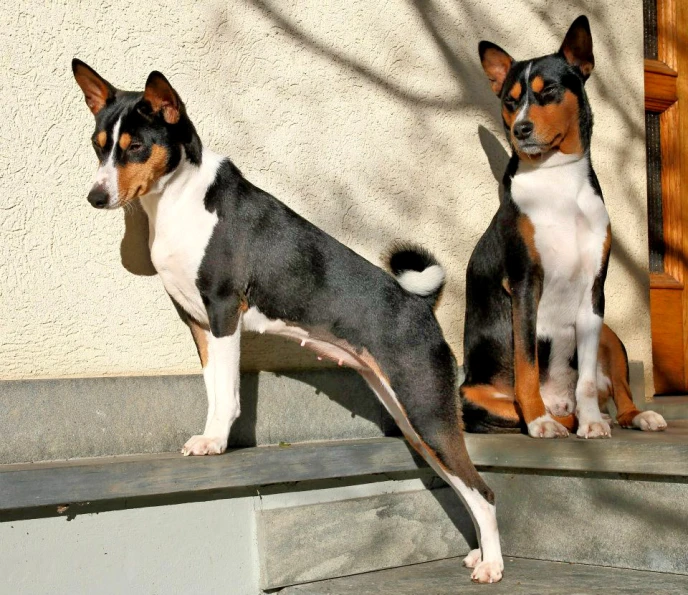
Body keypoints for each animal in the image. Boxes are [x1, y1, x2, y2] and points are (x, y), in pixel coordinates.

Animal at [72, 59, 506, 584]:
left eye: (135, 146)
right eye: (98, 145)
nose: (95, 197)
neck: (180, 202)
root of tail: (420, 306)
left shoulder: (224, 310)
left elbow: (228, 394)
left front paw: (216, 442)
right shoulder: (197, 322)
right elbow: (212, 387)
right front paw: (209, 436)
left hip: (426, 409)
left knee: (484, 492)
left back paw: (493, 566)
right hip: (414, 420)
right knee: (462, 485)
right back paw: (479, 554)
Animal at [462, 16, 668, 440]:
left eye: (549, 91)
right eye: (510, 101)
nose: (521, 129)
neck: (556, 178)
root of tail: (559, 400)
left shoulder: (593, 292)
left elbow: (587, 379)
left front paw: (592, 422)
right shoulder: (524, 286)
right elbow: (526, 366)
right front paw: (538, 420)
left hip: (609, 333)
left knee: (618, 394)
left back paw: (629, 416)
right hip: (472, 399)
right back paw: (550, 418)